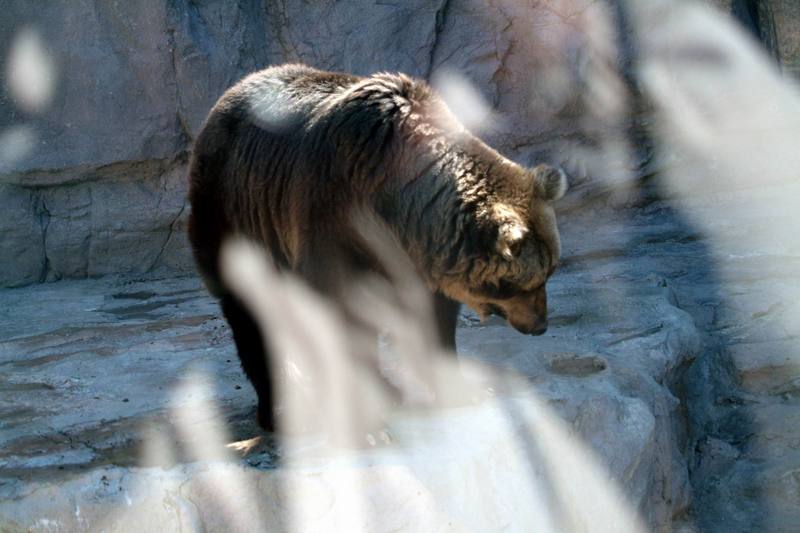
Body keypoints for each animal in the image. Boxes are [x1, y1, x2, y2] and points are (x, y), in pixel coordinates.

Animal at [188, 64, 564, 428]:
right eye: (525, 282)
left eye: (549, 272)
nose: (540, 325)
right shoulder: (333, 215)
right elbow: (339, 312)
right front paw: (367, 424)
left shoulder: (420, 254)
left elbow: (433, 317)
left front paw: (460, 389)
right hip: (233, 215)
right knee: (250, 314)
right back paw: (277, 410)